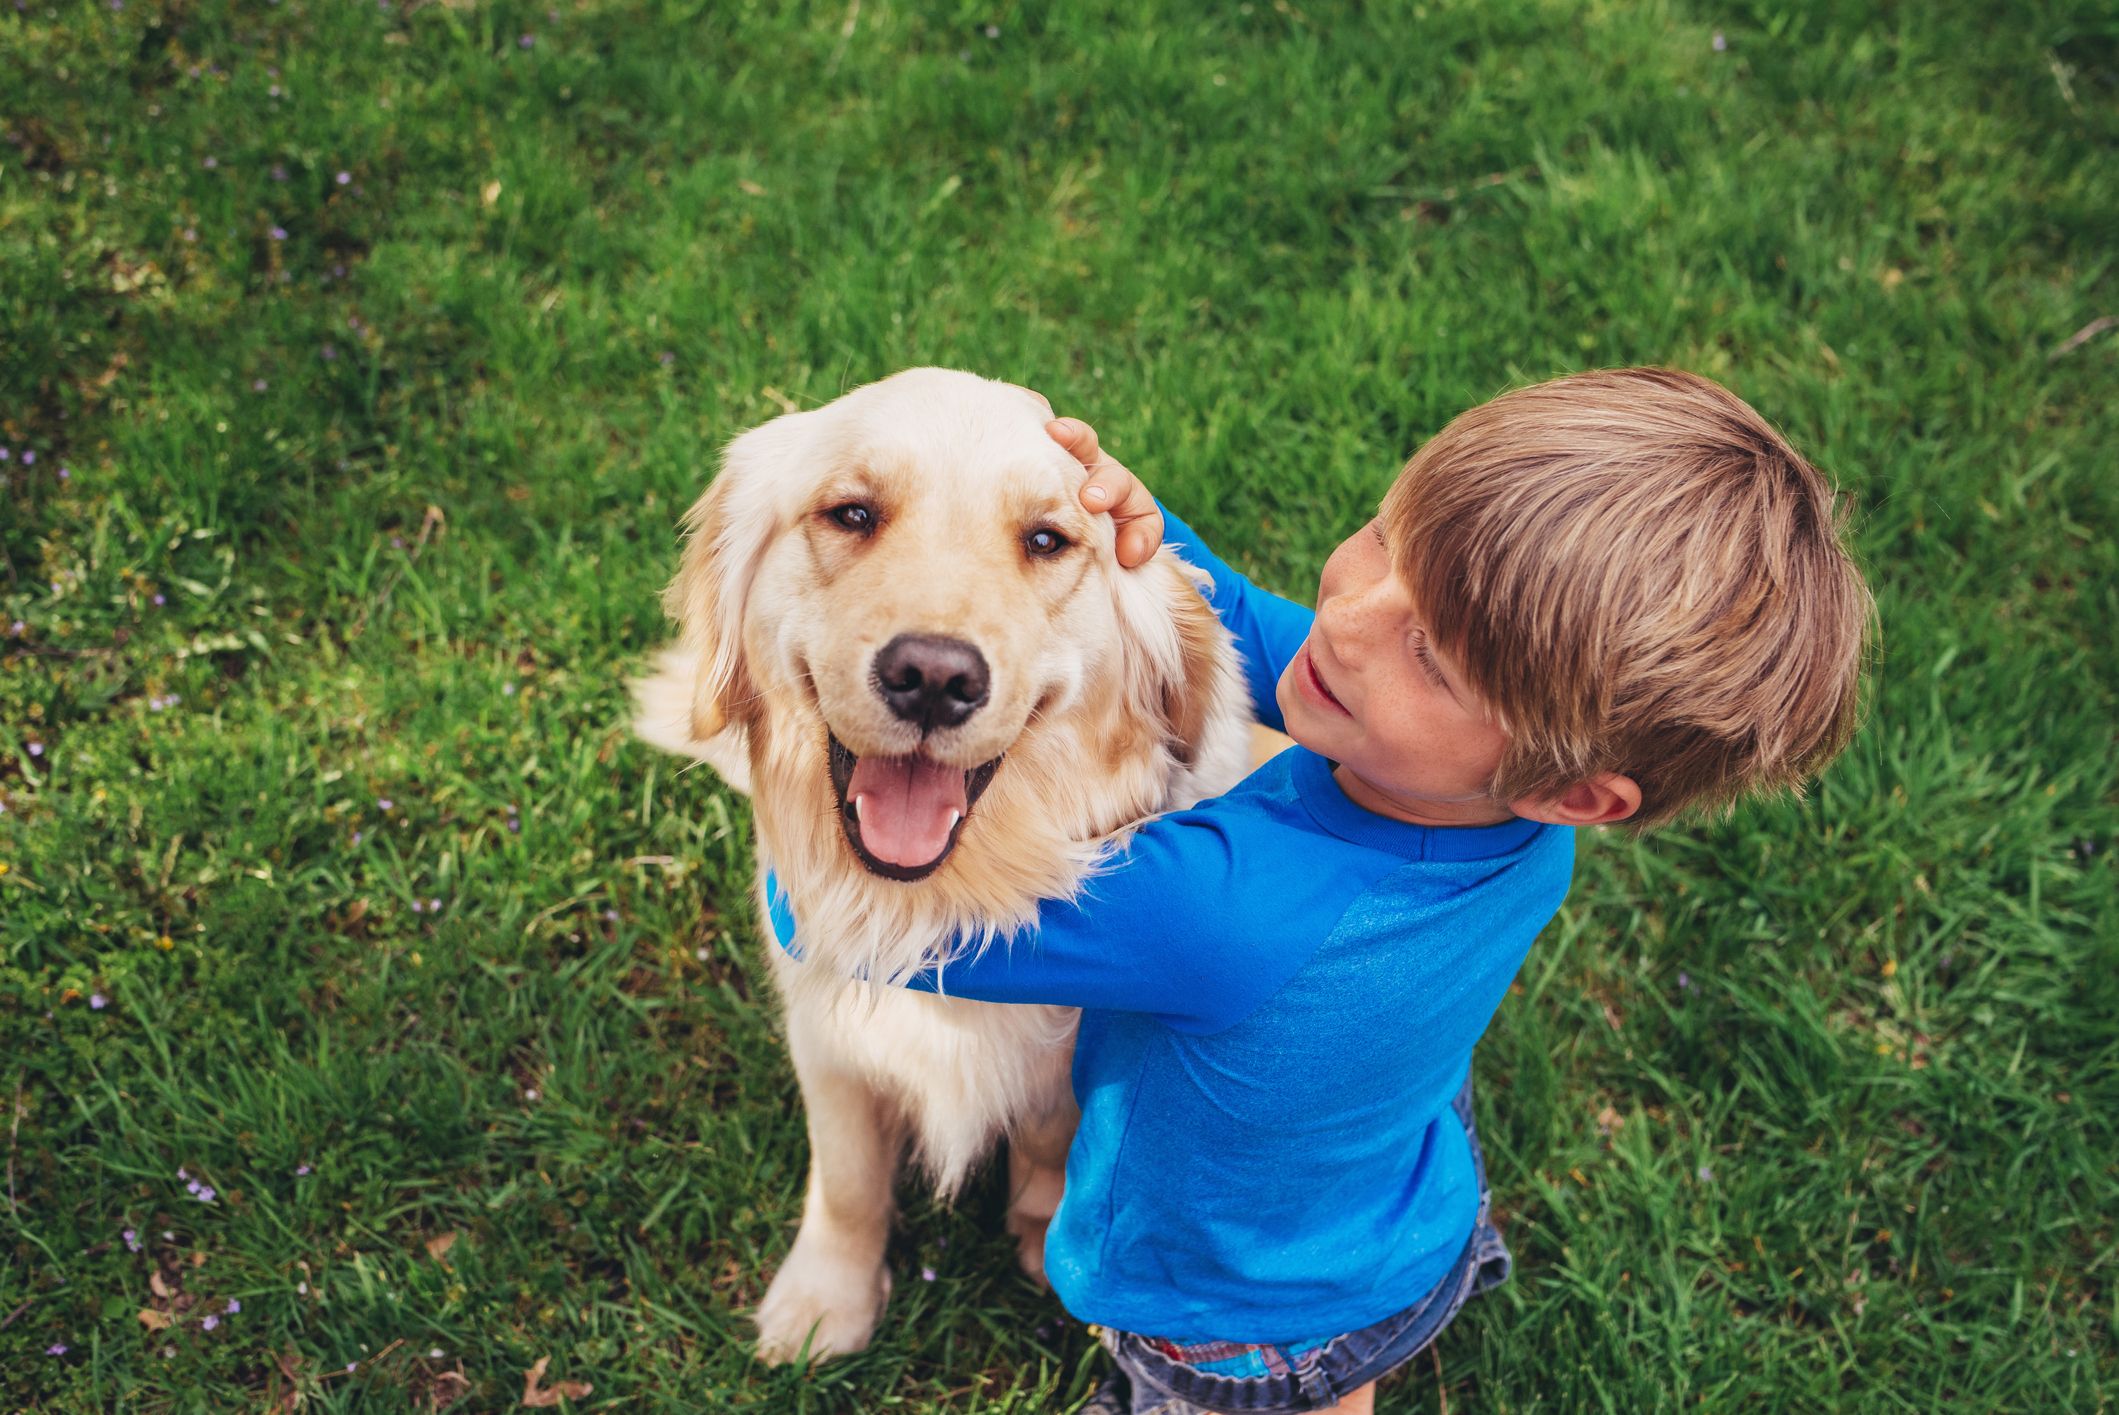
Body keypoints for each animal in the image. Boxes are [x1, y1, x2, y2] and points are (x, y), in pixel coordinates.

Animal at [627, 370, 1254, 1364]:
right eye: (850, 513)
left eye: (1047, 539)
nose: (931, 677)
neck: (934, 909)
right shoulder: (825, 1034)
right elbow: (847, 1177)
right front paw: (827, 1297)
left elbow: (1051, 1138)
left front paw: (1045, 1239)